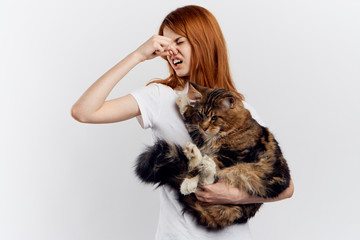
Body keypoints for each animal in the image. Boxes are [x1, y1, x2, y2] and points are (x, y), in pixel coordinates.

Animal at [134, 83, 290, 231]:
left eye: (214, 117)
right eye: (201, 114)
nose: (204, 127)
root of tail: (238, 214)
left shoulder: (231, 155)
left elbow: (211, 166)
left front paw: (191, 180)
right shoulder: (200, 136)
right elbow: (190, 118)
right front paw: (183, 101)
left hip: (247, 172)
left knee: (209, 178)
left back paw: (201, 165)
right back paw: (192, 154)